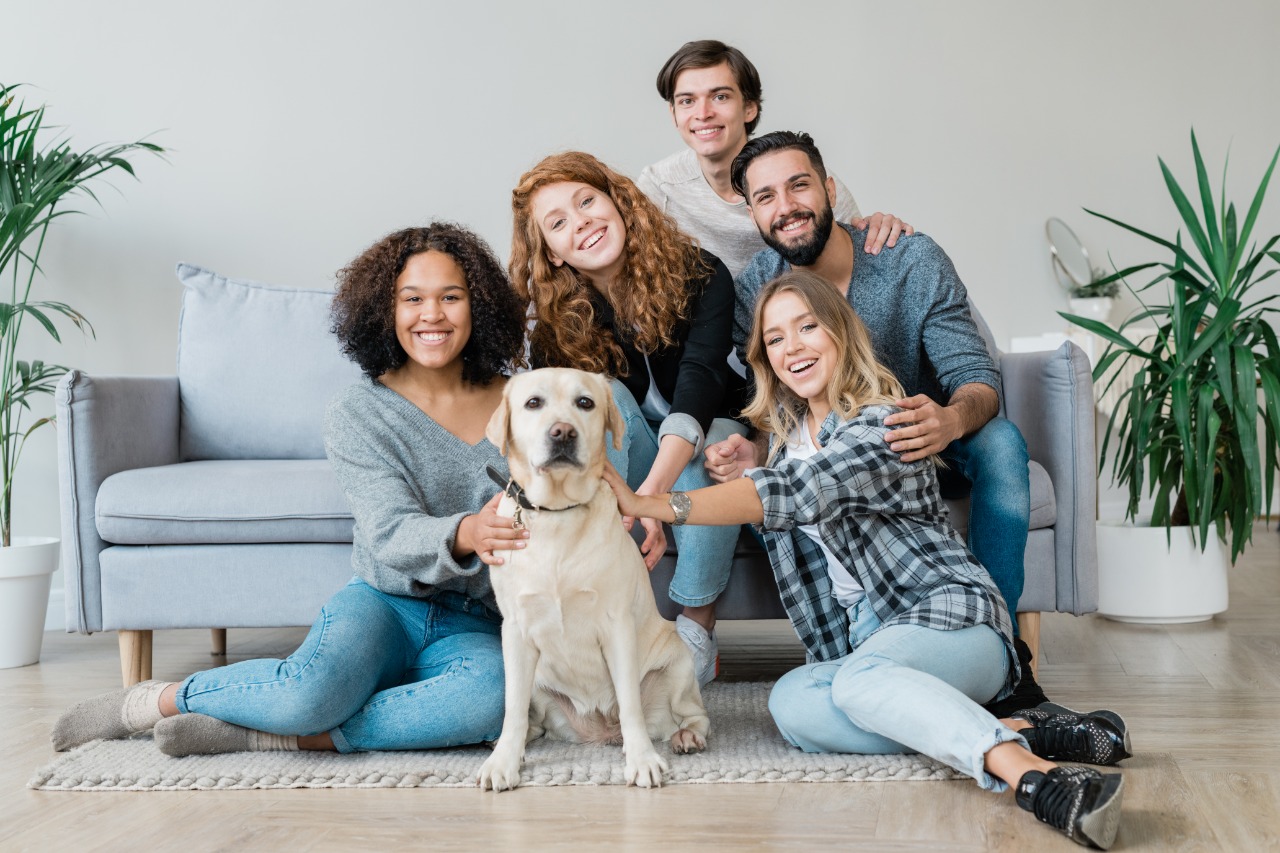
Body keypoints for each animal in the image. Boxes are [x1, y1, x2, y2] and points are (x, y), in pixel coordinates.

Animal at [478, 366, 706, 788]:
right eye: (533, 403)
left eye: (585, 402)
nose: (562, 433)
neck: (557, 514)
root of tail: (600, 730)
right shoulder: (515, 629)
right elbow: (513, 708)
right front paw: (503, 762)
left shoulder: (616, 626)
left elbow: (630, 705)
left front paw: (642, 760)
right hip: (538, 680)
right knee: (532, 721)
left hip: (677, 664)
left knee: (691, 714)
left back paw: (687, 736)